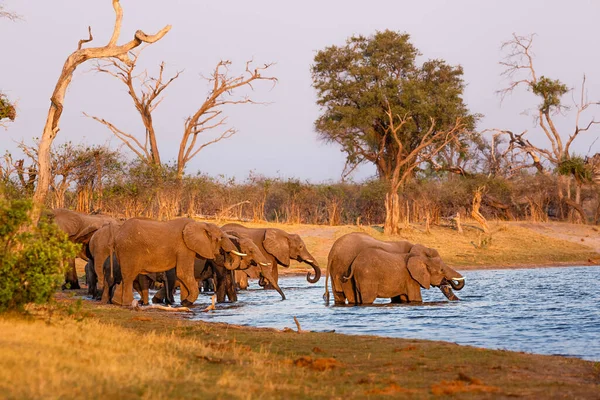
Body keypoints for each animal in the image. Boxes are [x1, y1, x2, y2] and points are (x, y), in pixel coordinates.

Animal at [111, 219, 245, 306]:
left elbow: (181, 276)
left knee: (125, 277)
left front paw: (184, 303)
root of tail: (116, 235)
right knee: (129, 276)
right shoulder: (184, 248)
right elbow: (183, 273)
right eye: (221, 238)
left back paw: (117, 302)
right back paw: (128, 304)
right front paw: (187, 302)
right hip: (129, 250)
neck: (200, 224)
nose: (224, 254)